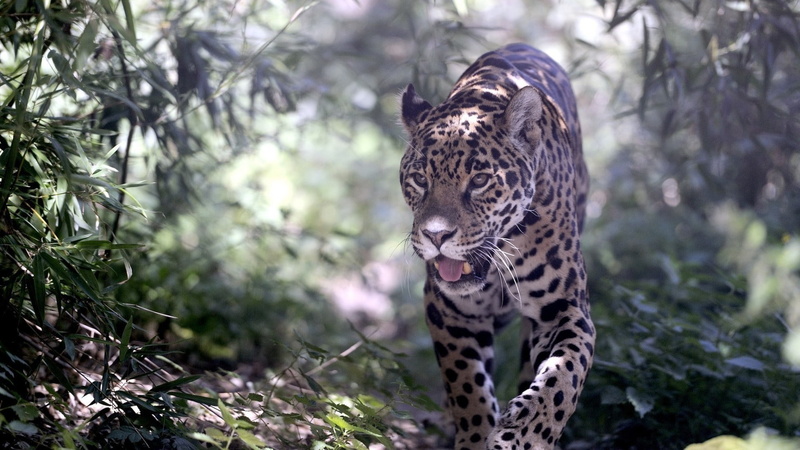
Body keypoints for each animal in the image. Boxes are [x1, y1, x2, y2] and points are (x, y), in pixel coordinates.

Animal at [398, 43, 595, 450]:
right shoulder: (450, 309)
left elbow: (564, 373)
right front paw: (475, 437)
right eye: (420, 179)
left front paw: (527, 431)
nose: (436, 236)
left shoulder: (565, 308)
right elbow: (466, 385)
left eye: (480, 181)